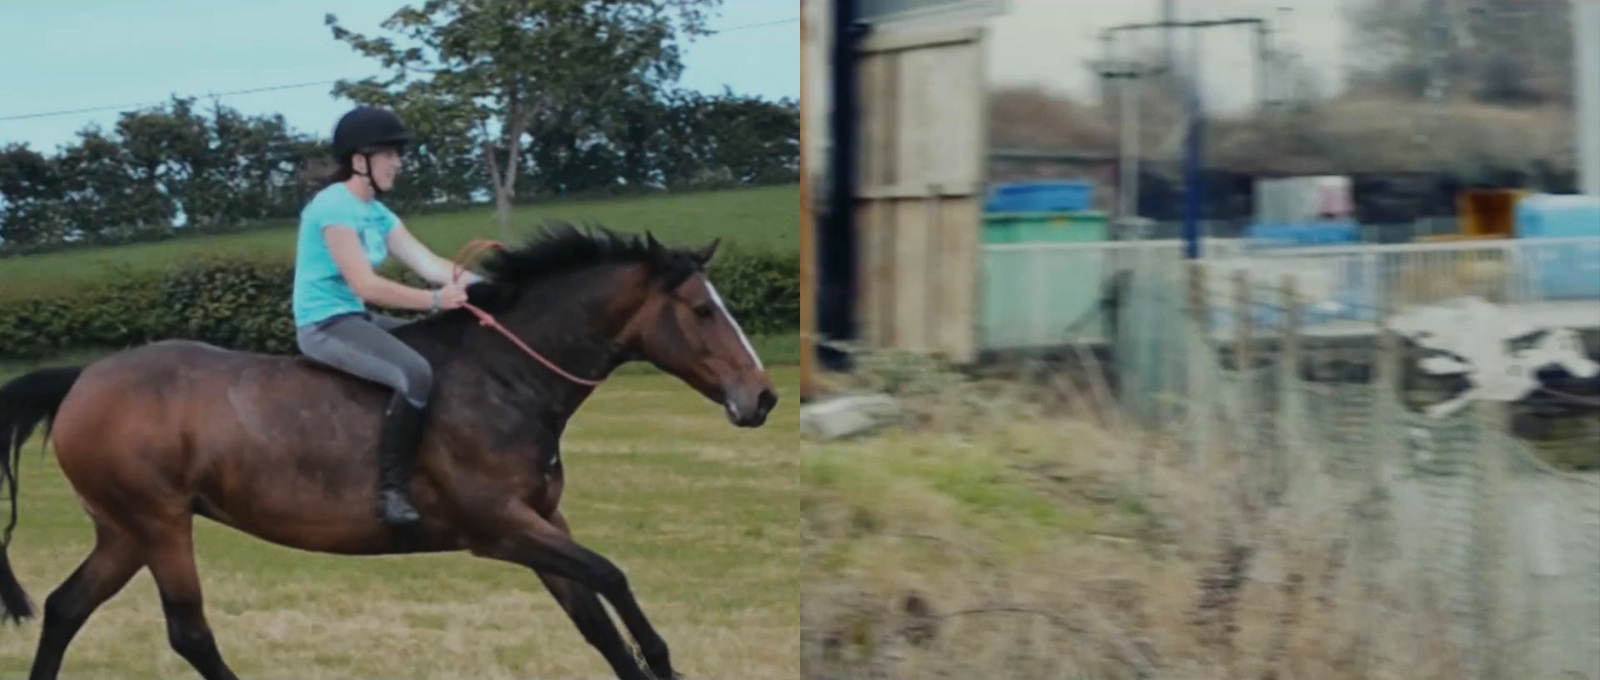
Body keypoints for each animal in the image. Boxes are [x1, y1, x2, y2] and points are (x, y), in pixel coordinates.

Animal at [0, 219, 777, 675]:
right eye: (702, 311)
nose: (763, 398)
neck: (507, 376)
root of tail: (84, 377)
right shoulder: (500, 529)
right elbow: (612, 578)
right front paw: (662, 658)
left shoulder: (542, 523)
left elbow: (596, 622)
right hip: (159, 526)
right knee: (188, 633)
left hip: (126, 531)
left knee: (66, 607)